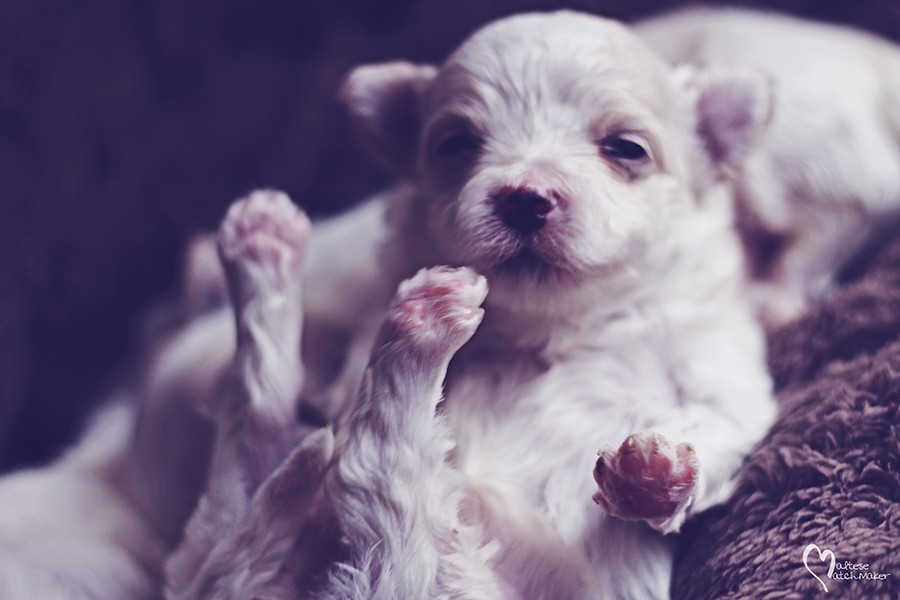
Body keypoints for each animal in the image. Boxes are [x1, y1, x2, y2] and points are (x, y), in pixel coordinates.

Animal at [171, 9, 780, 600]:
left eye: (626, 148)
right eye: (456, 144)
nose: (525, 197)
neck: (553, 330)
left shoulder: (721, 372)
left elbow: (713, 423)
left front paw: (651, 476)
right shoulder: (347, 379)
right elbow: (346, 391)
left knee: (362, 471)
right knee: (307, 441)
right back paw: (272, 250)